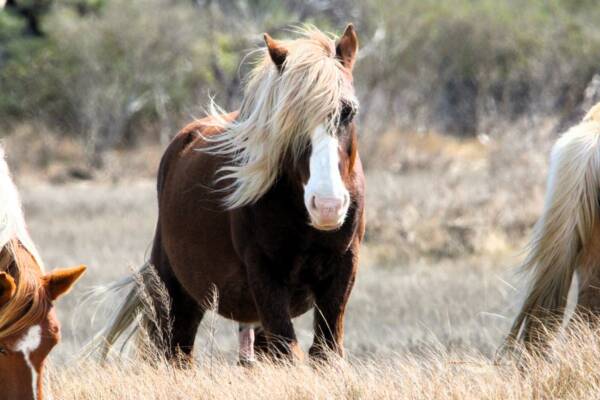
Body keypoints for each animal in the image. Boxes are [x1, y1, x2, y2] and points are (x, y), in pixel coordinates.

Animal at [98, 24, 366, 362]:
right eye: (287, 119)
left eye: (349, 112)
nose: (328, 206)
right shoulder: (265, 275)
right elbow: (290, 351)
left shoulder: (344, 267)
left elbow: (324, 352)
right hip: (177, 294)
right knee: (176, 352)